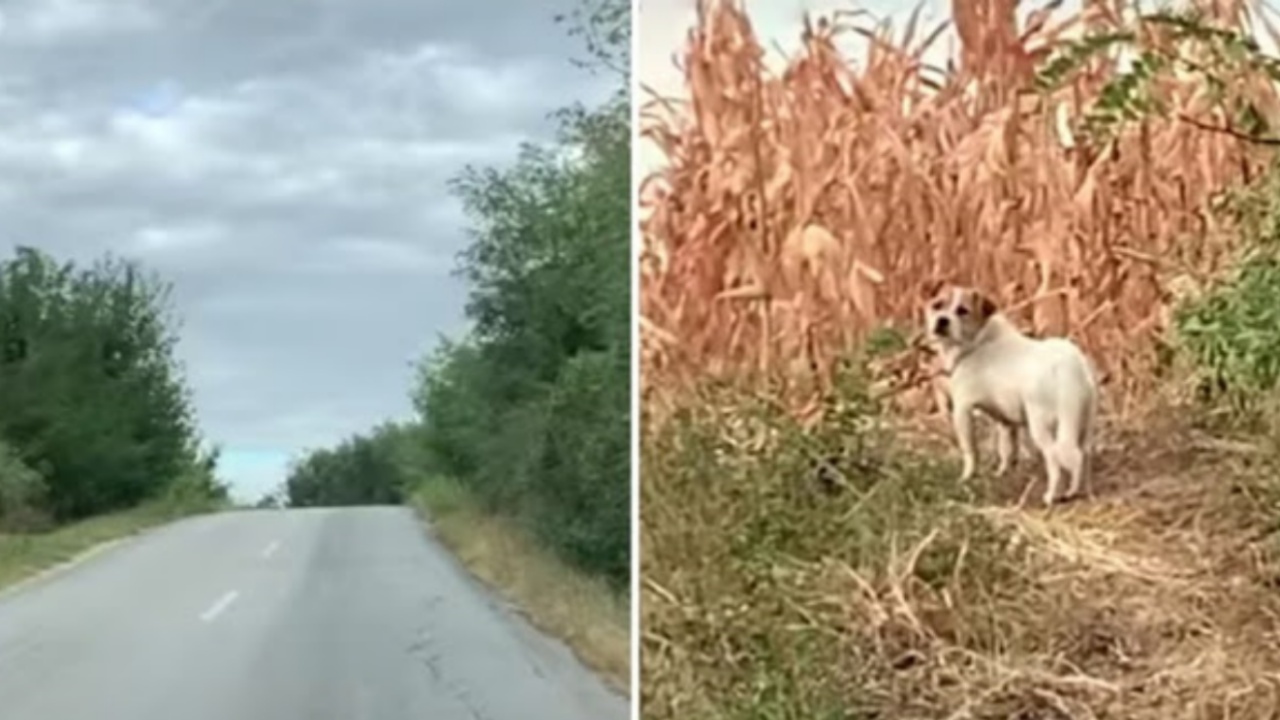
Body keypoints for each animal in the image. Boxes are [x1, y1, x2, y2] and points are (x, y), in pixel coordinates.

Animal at [921, 281, 1100, 504]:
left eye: (962, 311)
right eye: (937, 305)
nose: (942, 320)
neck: (977, 340)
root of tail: (1071, 368)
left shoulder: (962, 409)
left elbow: (970, 452)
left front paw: (967, 477)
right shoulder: (1005, 421)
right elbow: (1006, 449)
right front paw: (1003, 472)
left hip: (1041, 426)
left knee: (1055, 459)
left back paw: (1052, 495)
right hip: (1083, 425)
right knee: (1082, 456)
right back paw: (1078, 491)